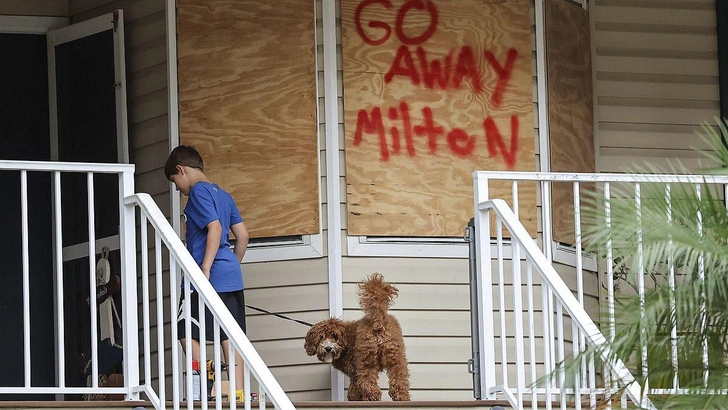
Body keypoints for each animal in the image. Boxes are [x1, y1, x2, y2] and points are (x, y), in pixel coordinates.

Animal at [304, 272, 412, 400]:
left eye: (334, 336)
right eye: (321, 337)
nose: (328, 348)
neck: (345, 343)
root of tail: (378, 321)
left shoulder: (354, 372)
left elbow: (354, 391)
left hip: (366, 360)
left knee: (369, 385)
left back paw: (371, 398)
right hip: (395, 356)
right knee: (400, 379)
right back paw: (402, 397)